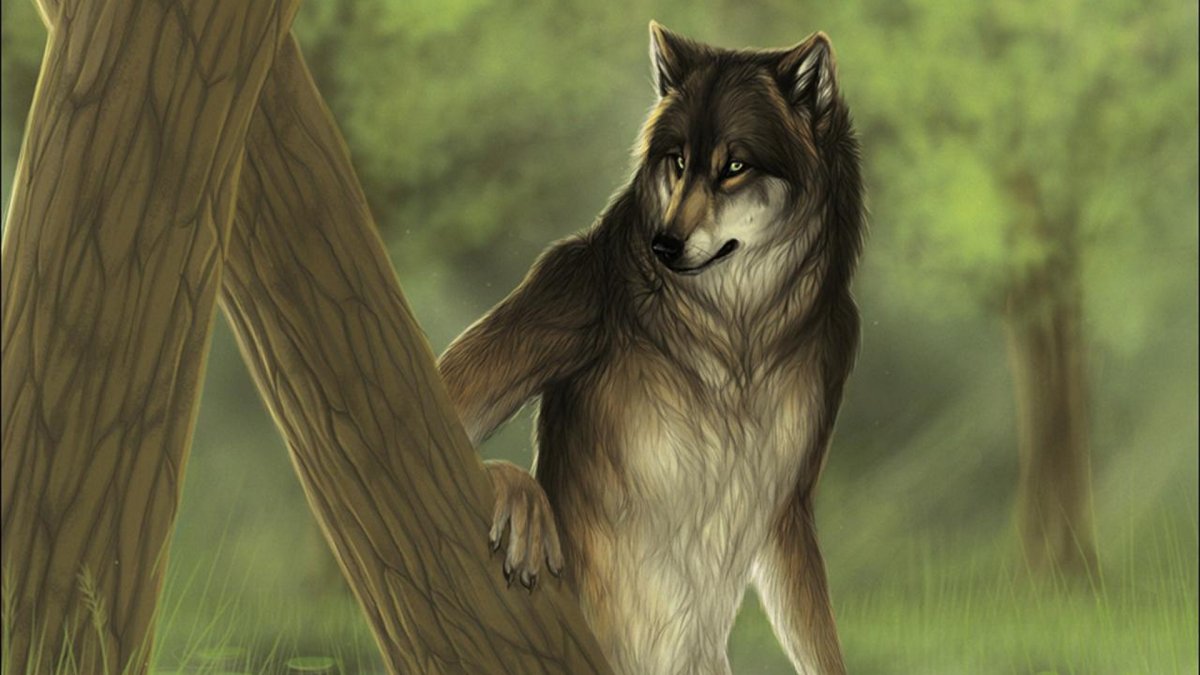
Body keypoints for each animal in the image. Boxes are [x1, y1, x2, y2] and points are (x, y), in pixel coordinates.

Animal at [439, 21, 864, 675]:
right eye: (679, 160)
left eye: (734, 166)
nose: (663, 244)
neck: (738, 335)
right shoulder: (570, 286)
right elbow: (445, 401)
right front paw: (516, 490)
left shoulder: (792, 495)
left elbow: (816, 638)